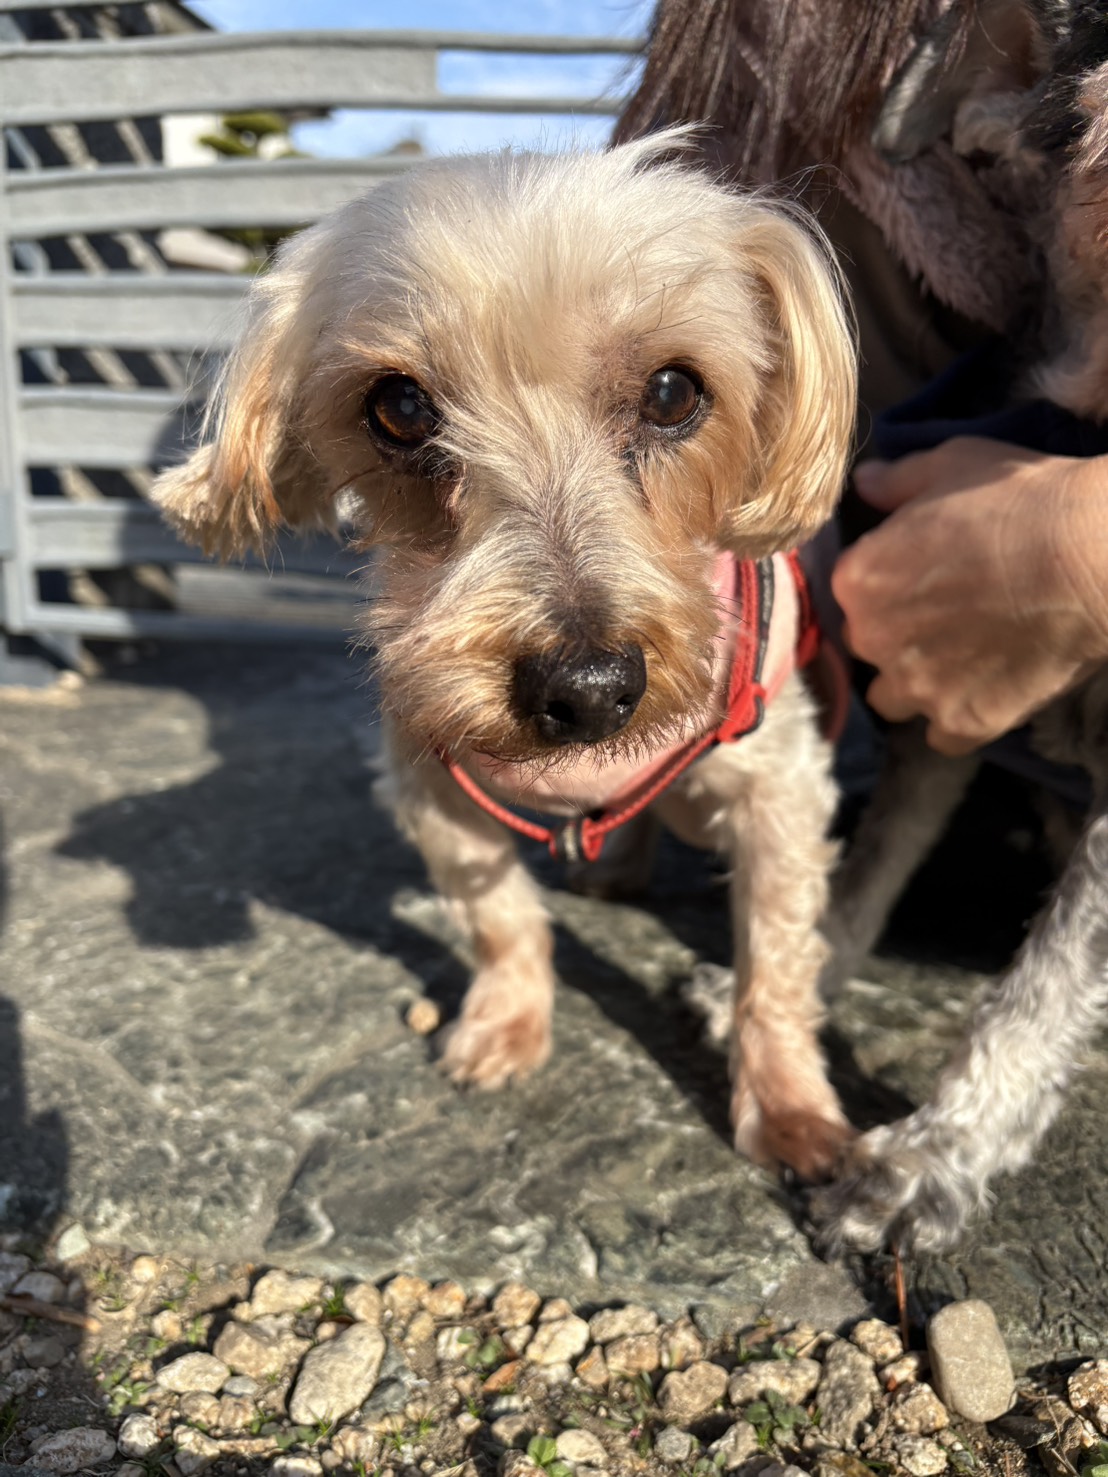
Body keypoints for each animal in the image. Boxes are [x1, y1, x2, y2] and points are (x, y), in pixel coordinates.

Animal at [151, 131, 859, 1185]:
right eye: (399, 406)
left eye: (673, 392)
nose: (589, 690)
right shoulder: (429, 780)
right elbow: (502, 921)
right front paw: (504, 1027)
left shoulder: (781, 789)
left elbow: (772, 964)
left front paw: (790, 1112)